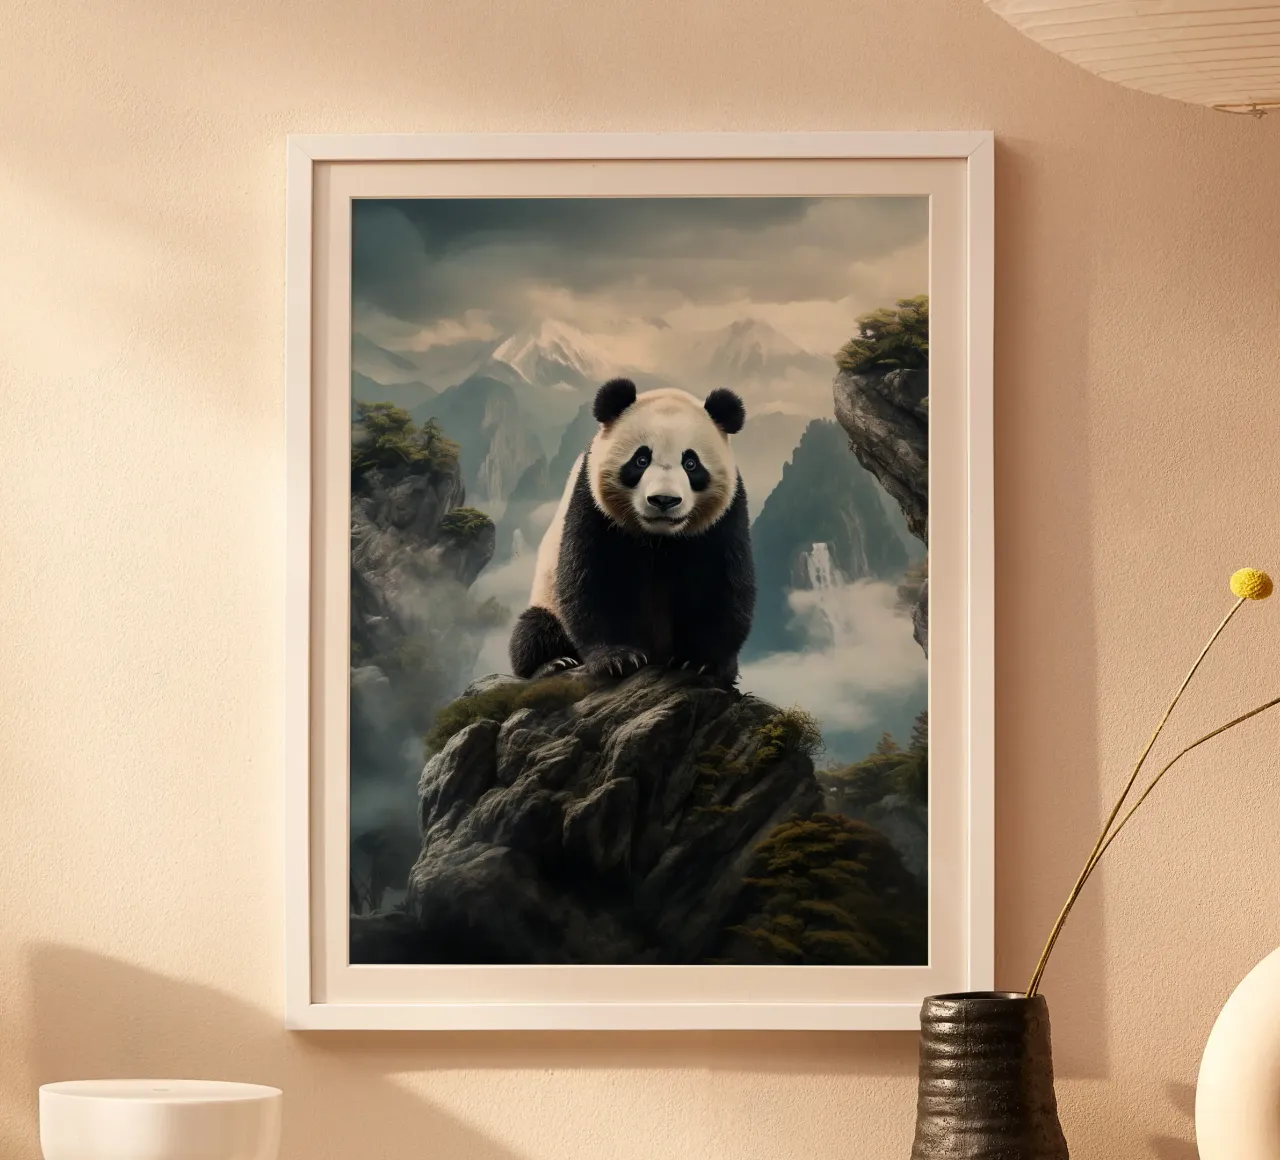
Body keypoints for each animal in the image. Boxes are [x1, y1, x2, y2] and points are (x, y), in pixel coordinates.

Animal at [508, 377, 756, 686]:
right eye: (641, 460)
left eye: (691, 463)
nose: (664, 500)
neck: (658, 538)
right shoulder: (592, 503)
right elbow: (592, 577)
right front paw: (618, 659)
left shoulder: (725, 517)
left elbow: (721, 582)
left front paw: (700, 661)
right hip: (547, 601)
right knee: (534, 629)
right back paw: (552, 664)